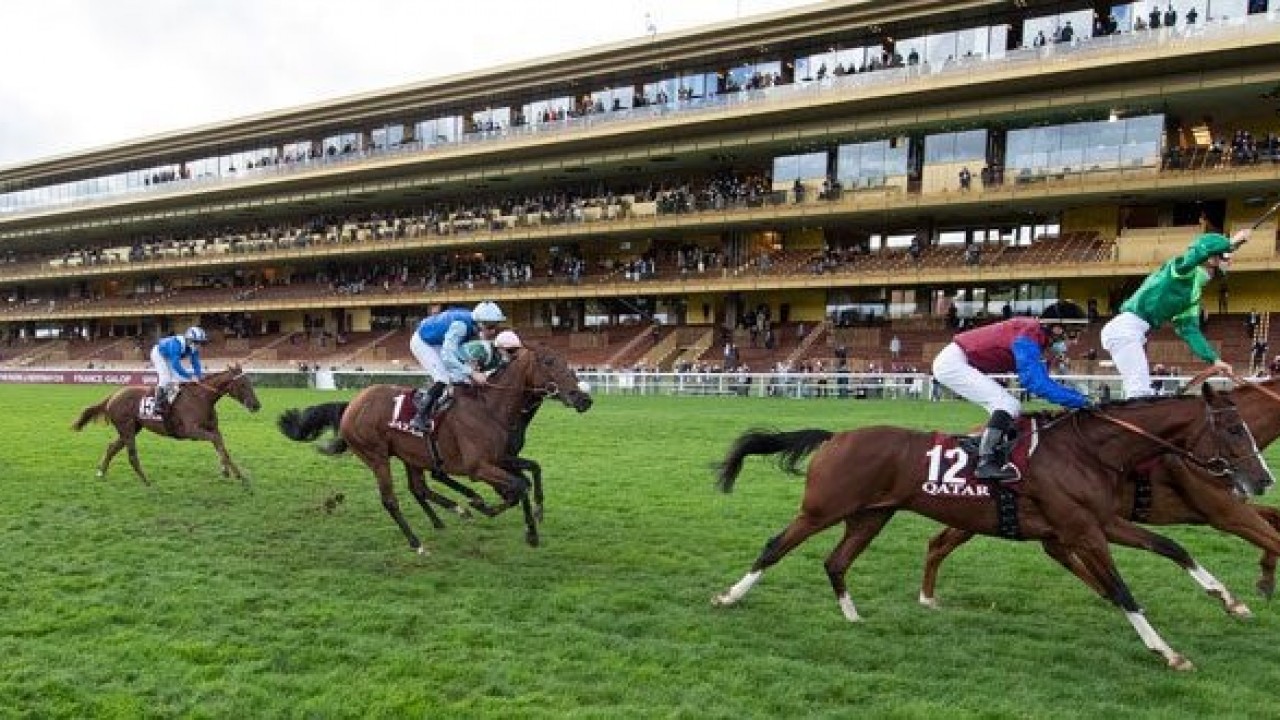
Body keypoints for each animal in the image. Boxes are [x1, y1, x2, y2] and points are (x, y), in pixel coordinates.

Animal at [70, 363, 262, 486]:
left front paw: (233, 472)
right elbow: (216, 441)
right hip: (127, 428)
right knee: (131, 455)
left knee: (112, 447)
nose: (256, 405)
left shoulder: (213, 428)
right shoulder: (191, 431)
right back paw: (146, 481)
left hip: (132, 428)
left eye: (250, 382)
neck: (202, 399)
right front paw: (232, 472)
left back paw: (101, 472)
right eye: (242, 384)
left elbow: (221, 444)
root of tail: (113, 395)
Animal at [277, 340, 591, 548]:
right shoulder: (477, 467)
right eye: (549, 362)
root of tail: (352, 405)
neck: (491, 408)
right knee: (391, 499)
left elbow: (531, 471)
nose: (583, 398)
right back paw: (417, 541)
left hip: (409, 455)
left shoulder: (501, 457)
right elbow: (517, 485)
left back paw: (450, 514)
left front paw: (533, 515)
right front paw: (507, 518)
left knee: (419, 488)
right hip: (376, 456)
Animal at [921, 376, 1280, 604]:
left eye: (1243, 429)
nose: (1264, 479)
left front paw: (1264, 579)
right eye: (1234, 430)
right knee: (940, 543)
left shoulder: (1217, 507)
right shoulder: (1226, 513)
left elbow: (1273, 519)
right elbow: (1274, 536)